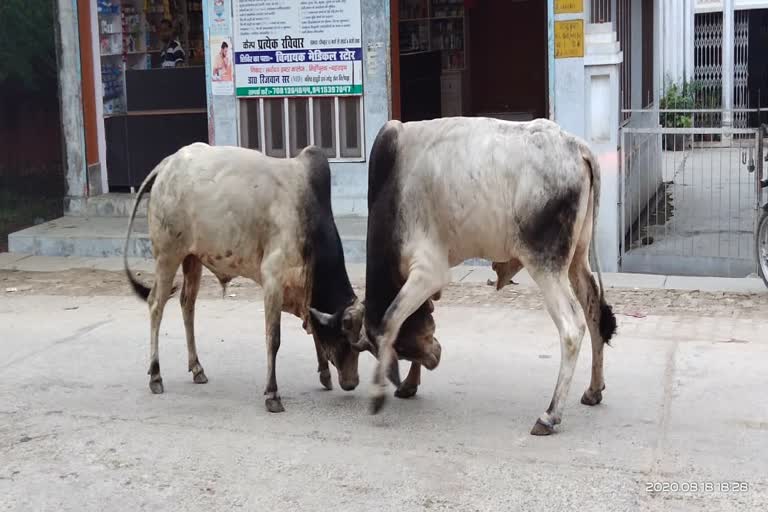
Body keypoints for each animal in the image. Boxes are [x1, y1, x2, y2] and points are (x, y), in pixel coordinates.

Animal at [124, 142, 368, 414]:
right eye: (345, 338)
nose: (352, 382)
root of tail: (167, 164)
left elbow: (313, 329)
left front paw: (324, 374)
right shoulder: (273, 278)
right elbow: (274, 339)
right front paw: (272, 394)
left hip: (192, 259)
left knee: (187, 304)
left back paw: (197, 368)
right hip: (167, 256)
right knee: (156, 304)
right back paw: (156, 375)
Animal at [360, 118, 616, 434]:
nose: (435, 357)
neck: (390, 191)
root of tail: (576, 146)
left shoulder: (429, 272)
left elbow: (390, 320)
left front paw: (377, 394)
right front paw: (408, 383)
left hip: (545, 265)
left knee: (571, 328)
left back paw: (550, 414)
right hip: (576, 259)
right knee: (593, 310)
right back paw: (593, 390)